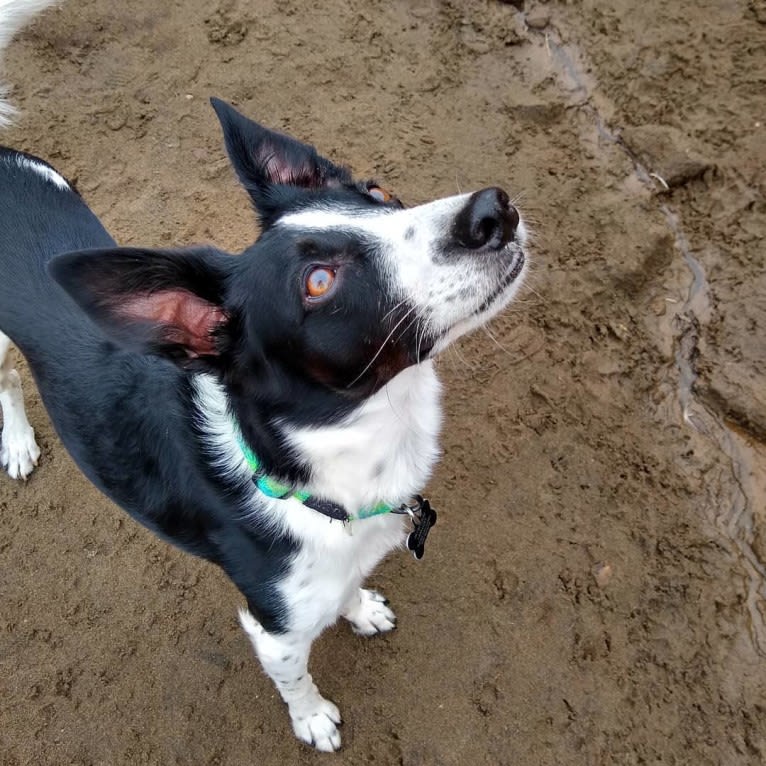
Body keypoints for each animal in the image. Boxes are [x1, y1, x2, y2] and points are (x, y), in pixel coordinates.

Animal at [0, 1, 528, 756]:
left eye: (379, 191)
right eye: (318, 282)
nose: (493, 209)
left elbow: (350, 591)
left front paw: (361, 608)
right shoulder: (272, 627)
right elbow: (295, 677)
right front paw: (312, 719)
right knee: (9, 381)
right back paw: (16, 443)